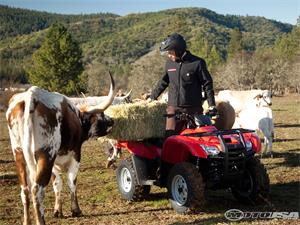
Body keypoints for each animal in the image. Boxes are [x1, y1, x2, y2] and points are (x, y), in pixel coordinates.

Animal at [6, 73, 116, 224]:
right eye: (102, 115)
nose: (112, 121)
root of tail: (31, 95)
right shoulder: (75, 154)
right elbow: (71, 181)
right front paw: (76, 210)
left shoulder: (54, 163)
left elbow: (57, 183)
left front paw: (58, 210)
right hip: (46, 154)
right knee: (37, 190)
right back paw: (40, 221)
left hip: (19, 153)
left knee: (25, 190)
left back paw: (26, 221)